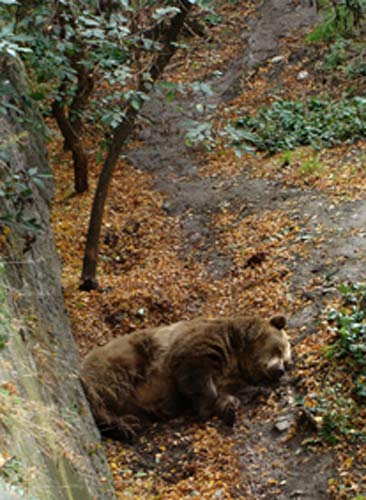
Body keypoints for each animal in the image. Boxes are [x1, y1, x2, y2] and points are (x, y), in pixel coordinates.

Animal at [81, 314, 292, 440]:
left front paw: (230, 408)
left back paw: (129, 422)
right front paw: (206, 408)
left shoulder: (230, 378)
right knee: (109, 387)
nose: (280, 370)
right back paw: (123, 426)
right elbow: (195, 373)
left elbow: (229, 392)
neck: (238, 357)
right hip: (124, 359)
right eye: (279, 349)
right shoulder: (202, 344)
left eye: (287, 360)